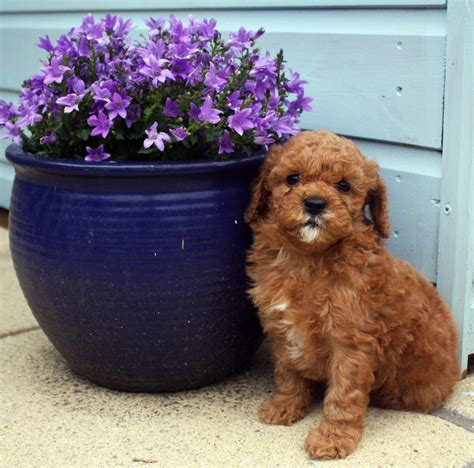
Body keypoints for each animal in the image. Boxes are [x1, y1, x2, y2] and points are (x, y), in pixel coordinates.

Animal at [244, 130, 460, 458]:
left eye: (343, 185)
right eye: (292, 178)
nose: (315, 203)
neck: (308, 257)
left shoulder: (351, 341)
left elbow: (344, 395)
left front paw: (332, 438)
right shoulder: (280, 327)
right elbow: (287, 371)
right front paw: (286, 404)